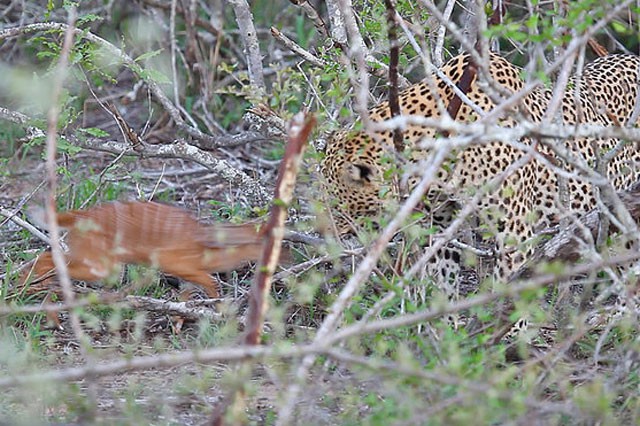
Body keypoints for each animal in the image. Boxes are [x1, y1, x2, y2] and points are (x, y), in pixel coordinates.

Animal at [322, 51, 640, 332]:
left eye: (337, 205)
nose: (324, 234)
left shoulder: (514, 227)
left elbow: (509, 287)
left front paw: (509, 340)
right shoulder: (441, 224)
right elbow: (443, 280)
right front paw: (447, 334)